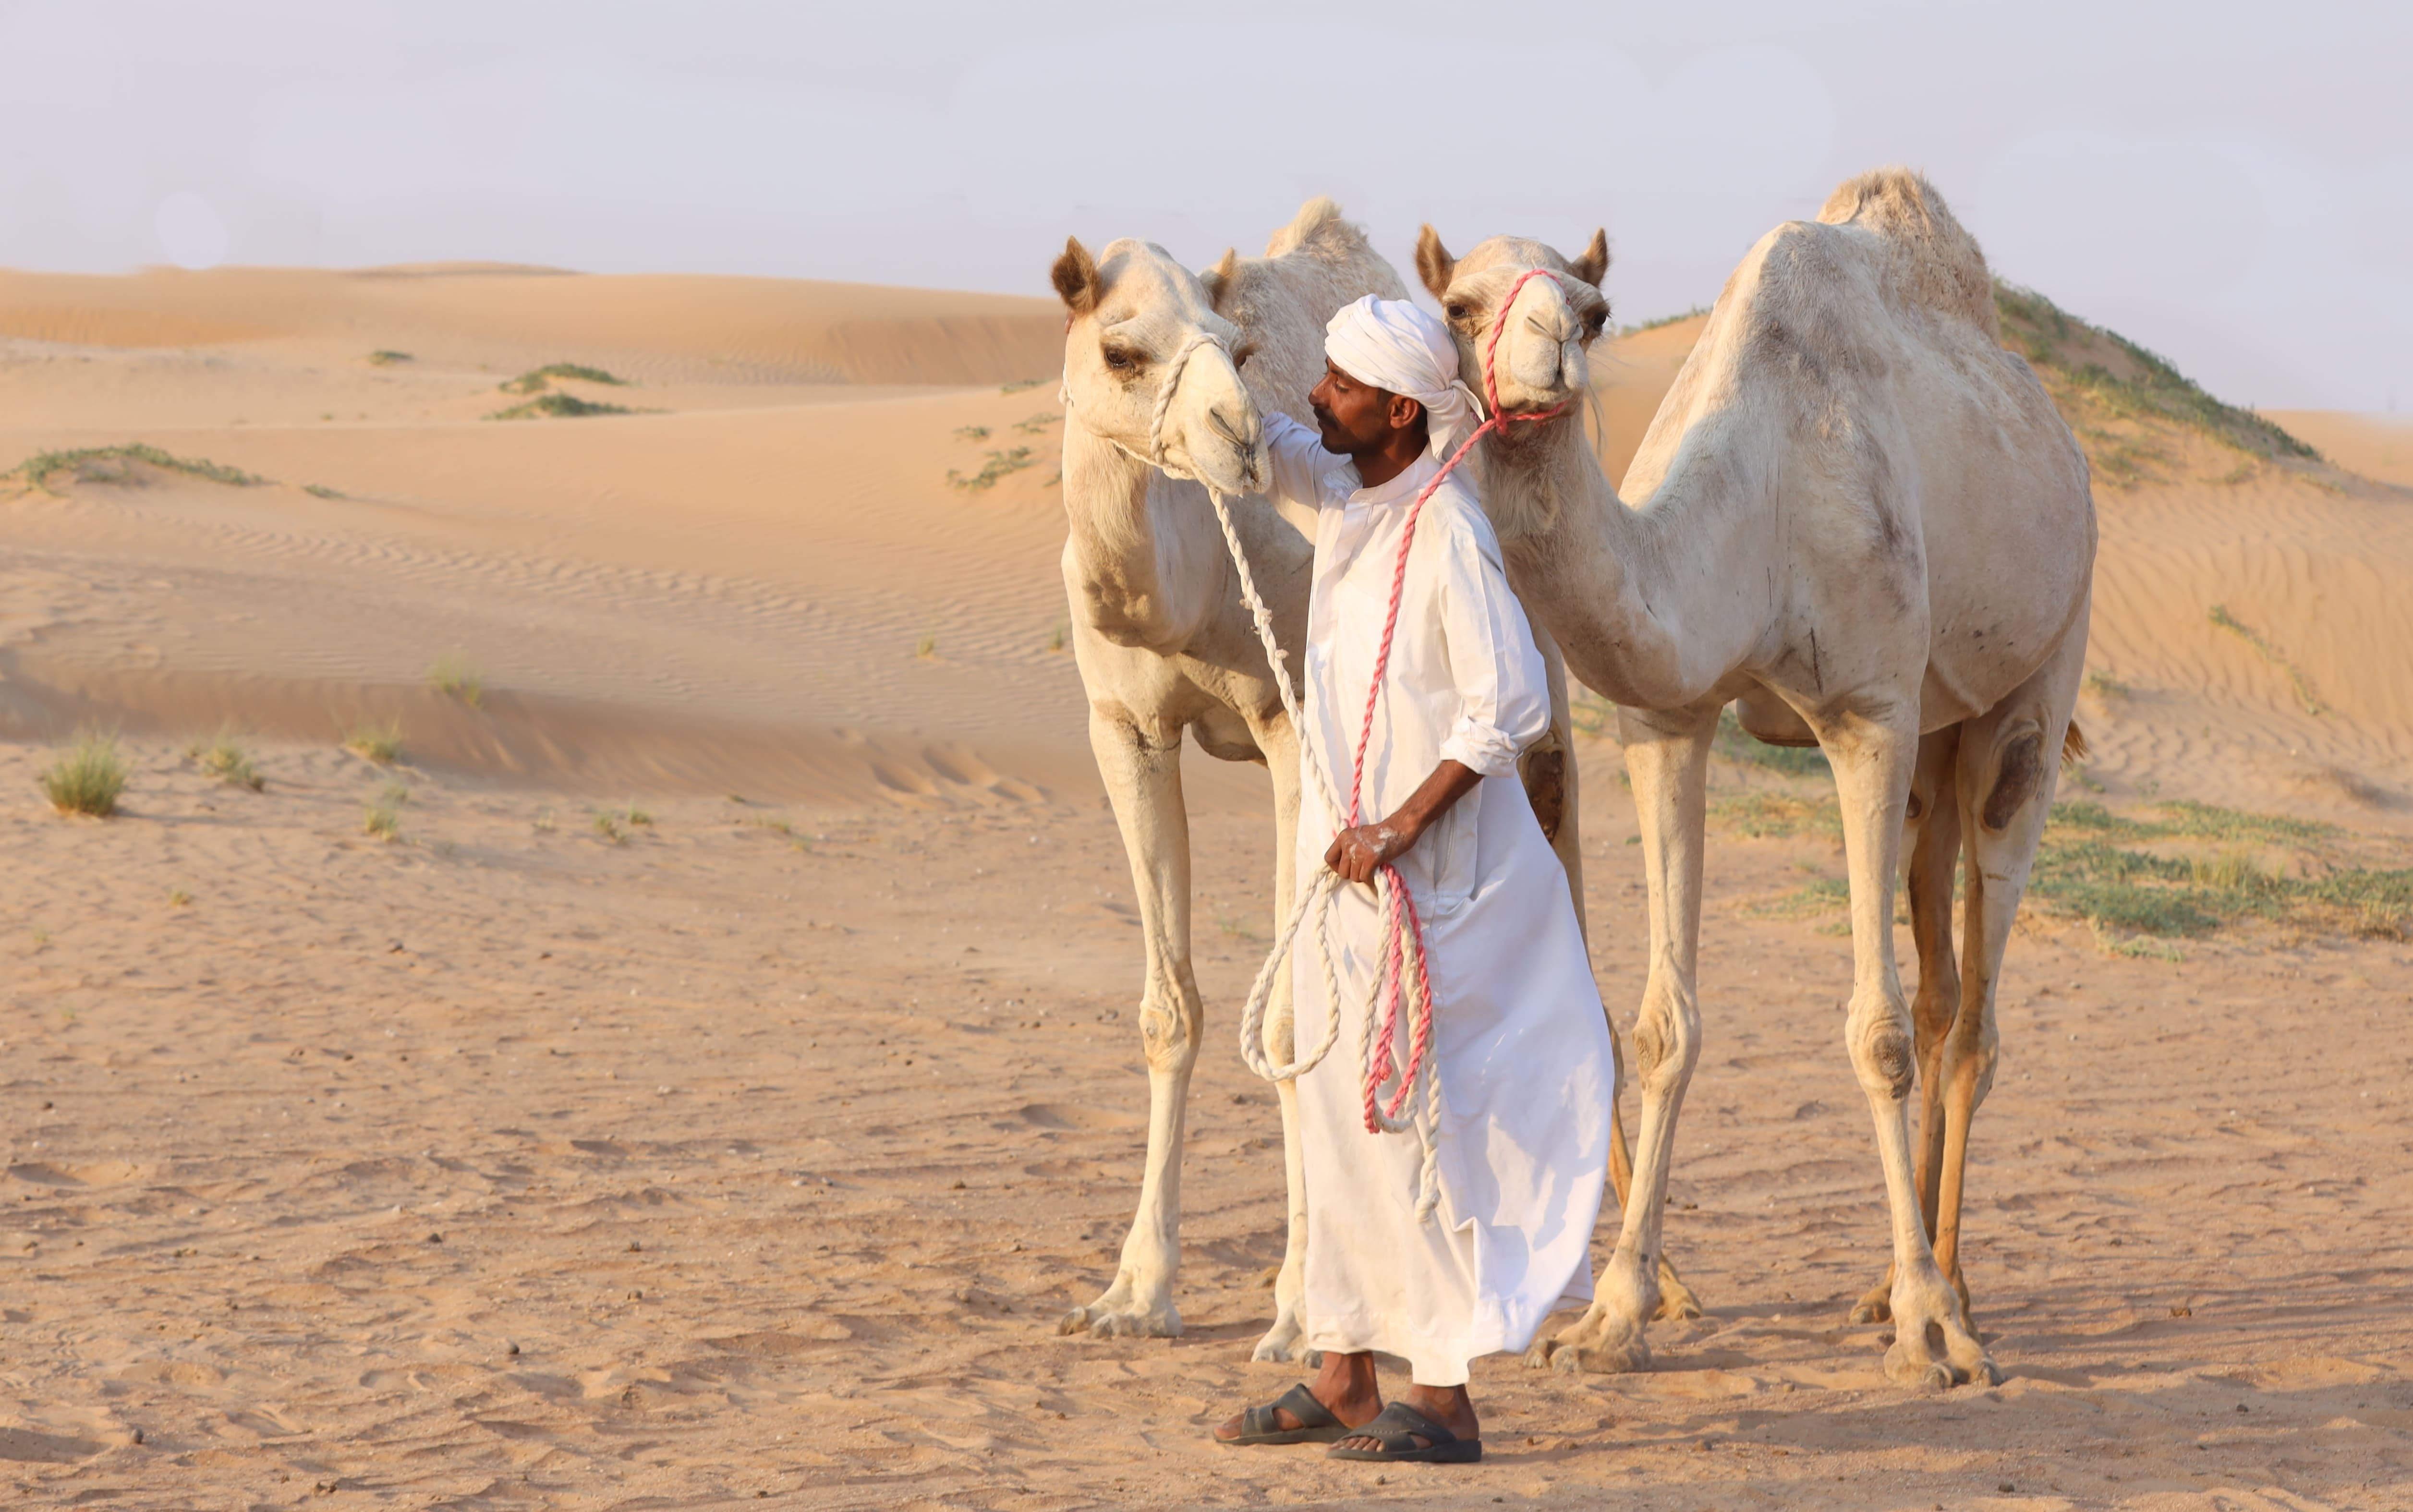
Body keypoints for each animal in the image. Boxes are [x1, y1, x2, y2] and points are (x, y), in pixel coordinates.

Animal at [1414, 168, 2095, 1389]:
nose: (1549, 352)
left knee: (1971, 1006)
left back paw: (1952, 1290)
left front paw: (1929, 1328)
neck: (1756, 507)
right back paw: (1884, 1280)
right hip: (1934, 741)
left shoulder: (1868, 711)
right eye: (1455, 302)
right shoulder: (1665, 720)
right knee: (1939, 986)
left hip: (2038, 672)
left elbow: (1873, 1034)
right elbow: (1663, 1026)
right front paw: (1611, 1316)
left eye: (1593, 310)